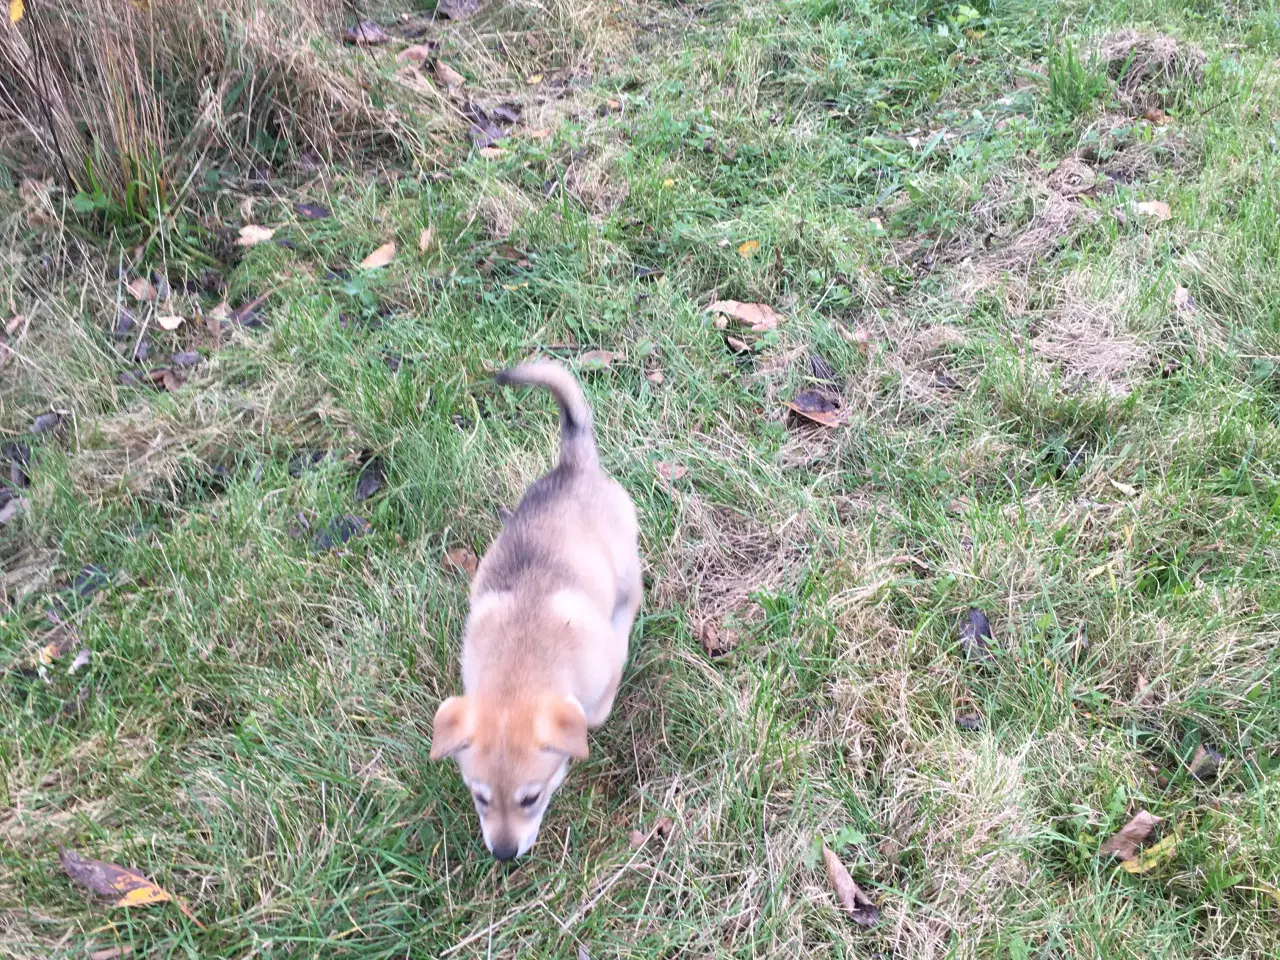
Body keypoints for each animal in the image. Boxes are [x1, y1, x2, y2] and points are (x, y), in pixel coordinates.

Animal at [430, 363, 640, 865]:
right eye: (480, 797)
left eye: (531, 797)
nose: (504, 855)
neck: (519, 667)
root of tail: (573, 466)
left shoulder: (600, 675)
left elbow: (591, 717)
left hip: (626, 562)